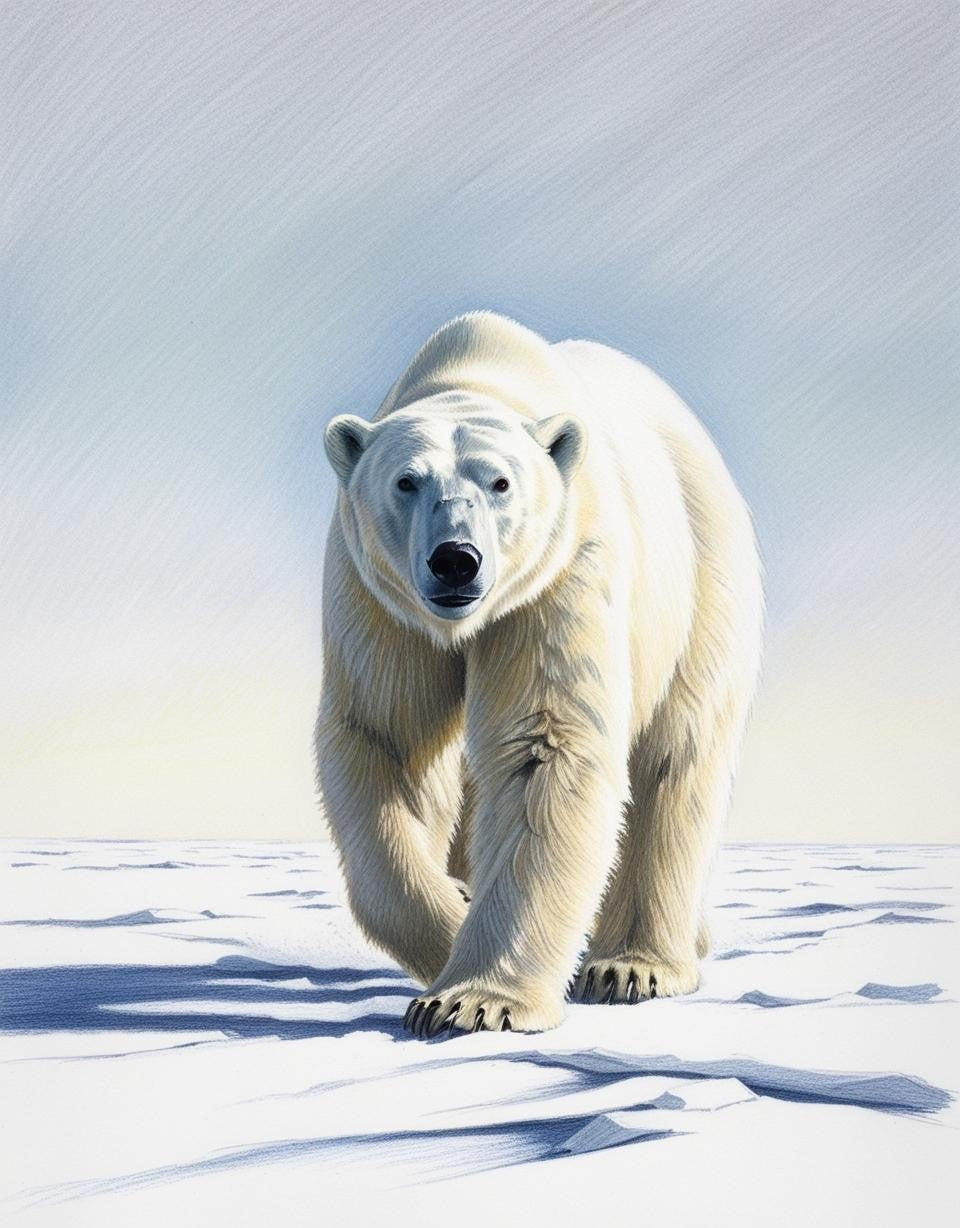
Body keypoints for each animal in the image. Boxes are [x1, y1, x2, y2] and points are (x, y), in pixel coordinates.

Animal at [315, 311, 763, 1038]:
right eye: (407, 480)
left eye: (500, 483)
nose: (456, 560)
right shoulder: (379, 600)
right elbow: (386, 743)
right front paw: (450, 920)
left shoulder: (561, 573)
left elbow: (543, 746)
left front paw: (472, 1001)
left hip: (702, 586)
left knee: (675, 759)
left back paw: (634, 964)